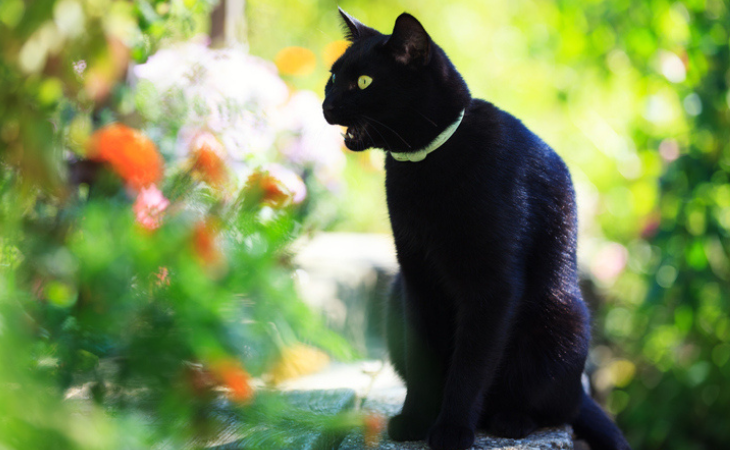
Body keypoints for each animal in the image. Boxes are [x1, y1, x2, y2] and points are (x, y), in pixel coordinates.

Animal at [322, 9, 628, 450]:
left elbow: (470, 365)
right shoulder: (416, 275)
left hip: (560, 318)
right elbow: (423, 358)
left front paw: (451, 429)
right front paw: (415, 419)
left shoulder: (492, 284)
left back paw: (510, 419)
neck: (425, 163)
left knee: (555, 407)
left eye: (364, 82)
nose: (326, 105)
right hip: (394, 295)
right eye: (332, 77)